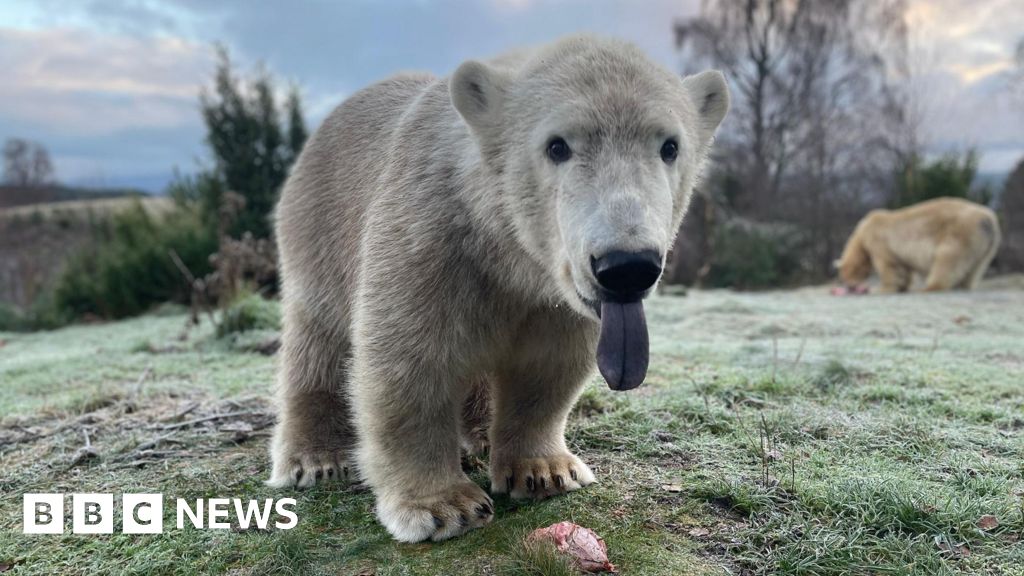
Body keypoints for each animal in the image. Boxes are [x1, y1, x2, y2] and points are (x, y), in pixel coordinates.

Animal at [267, 35, 730, 542]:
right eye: (556, 146)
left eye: (670, 146)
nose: (627, 267)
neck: (508, 252)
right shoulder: (428, 238)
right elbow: (410, 362)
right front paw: (443, 506)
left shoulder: (552, 300)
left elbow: (548, 366)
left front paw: (544, 471)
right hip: (319, 231)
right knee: (317, 340)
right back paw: (316, 459)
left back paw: (481, 435)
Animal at [836, 197, 1001, 293]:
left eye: (845, 274)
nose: (849, 286)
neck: (862, 232)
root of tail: (987, 219)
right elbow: (904, 268)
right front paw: (903, 286)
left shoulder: (879, 242)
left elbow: (888, 266)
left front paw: (881, 288)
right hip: (987, 245)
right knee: (976, 267)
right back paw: (962, 285)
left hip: (958, 232)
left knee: (947, 259)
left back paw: (930, 286)